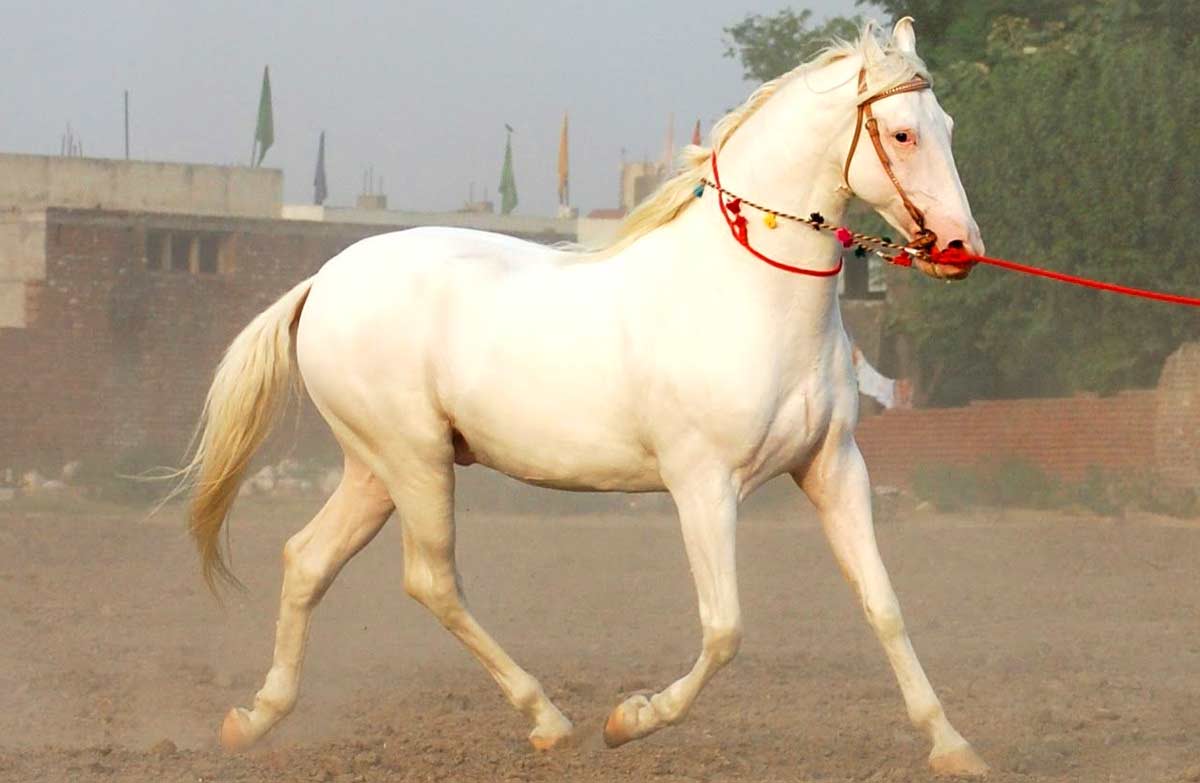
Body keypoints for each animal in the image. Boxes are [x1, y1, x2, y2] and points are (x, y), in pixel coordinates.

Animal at [186, 18, 988, 777]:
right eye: (902, 132)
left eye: (949, 124)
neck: (745, 292)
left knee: (308, 560)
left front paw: (952, 745)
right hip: (412, 460)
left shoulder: (833, 469)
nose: (961, 248)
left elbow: (883, 607)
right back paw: (548, 718)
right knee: (431, 579)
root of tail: (323, 281)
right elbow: (724, 628)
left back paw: (254, 718)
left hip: (375, 470)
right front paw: (631, 718)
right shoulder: (703, 485)